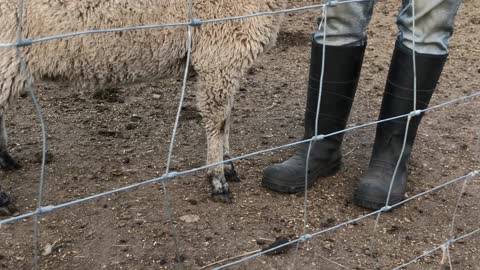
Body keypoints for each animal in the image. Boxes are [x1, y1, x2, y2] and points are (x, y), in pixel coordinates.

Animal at [0, 0, 284, 204]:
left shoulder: (227, 62)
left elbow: (226, 119)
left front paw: (228, 166)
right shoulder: (219, 56)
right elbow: (218, 121)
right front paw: (218, 180)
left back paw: (6, 159)